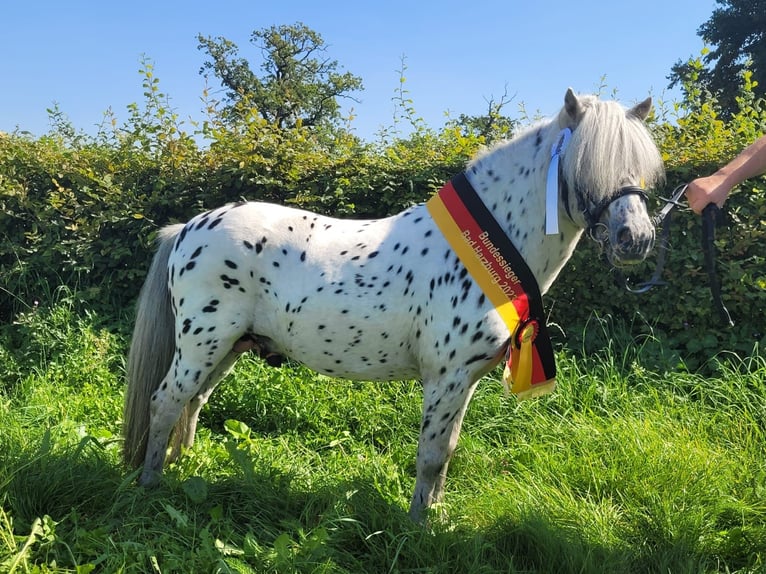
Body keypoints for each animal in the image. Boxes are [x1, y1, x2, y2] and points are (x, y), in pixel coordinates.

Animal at [123, 89, 664, 520]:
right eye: (586, 165)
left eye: (640, 168)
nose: (634, 239)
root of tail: (187, 229)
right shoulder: (445, 379)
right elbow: (431, 455)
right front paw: (419, 526)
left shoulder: (465, 381)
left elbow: (446, 452)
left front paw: (437, 516)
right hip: (203, 344)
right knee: (165, 401)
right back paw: (152, 485)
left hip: (228, 346)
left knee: (192, 402)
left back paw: (183, 465)